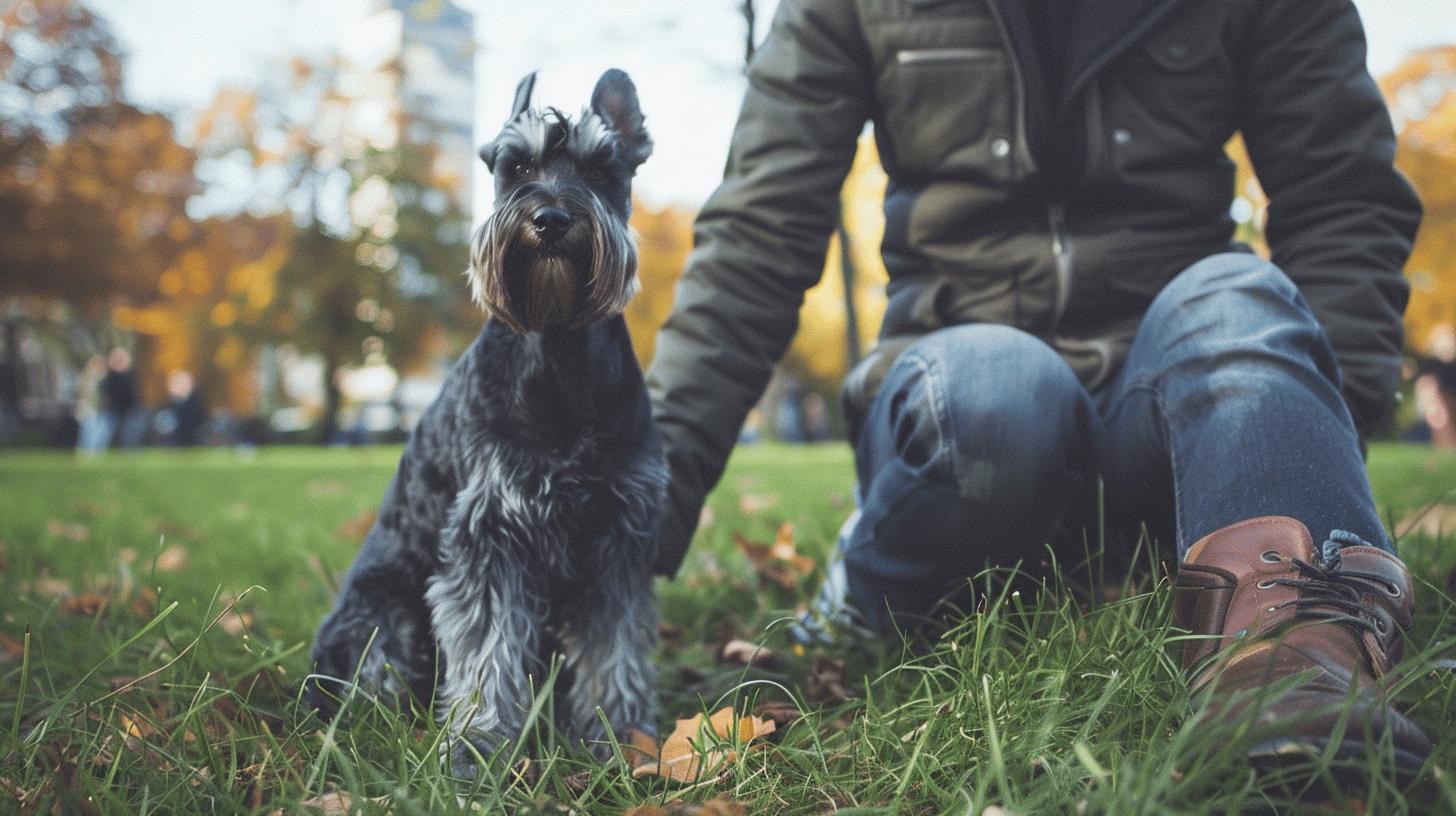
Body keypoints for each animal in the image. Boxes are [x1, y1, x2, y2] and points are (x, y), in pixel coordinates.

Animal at [313, 68, 669, 769]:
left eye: (601, 166)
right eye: (517, 164)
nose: (551, 217)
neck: (559, 356)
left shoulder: (617, 535)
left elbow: (613, 647)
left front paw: (621, 735)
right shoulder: (492, 532)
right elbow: (487, 650)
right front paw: (478, 748)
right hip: (383, 618)